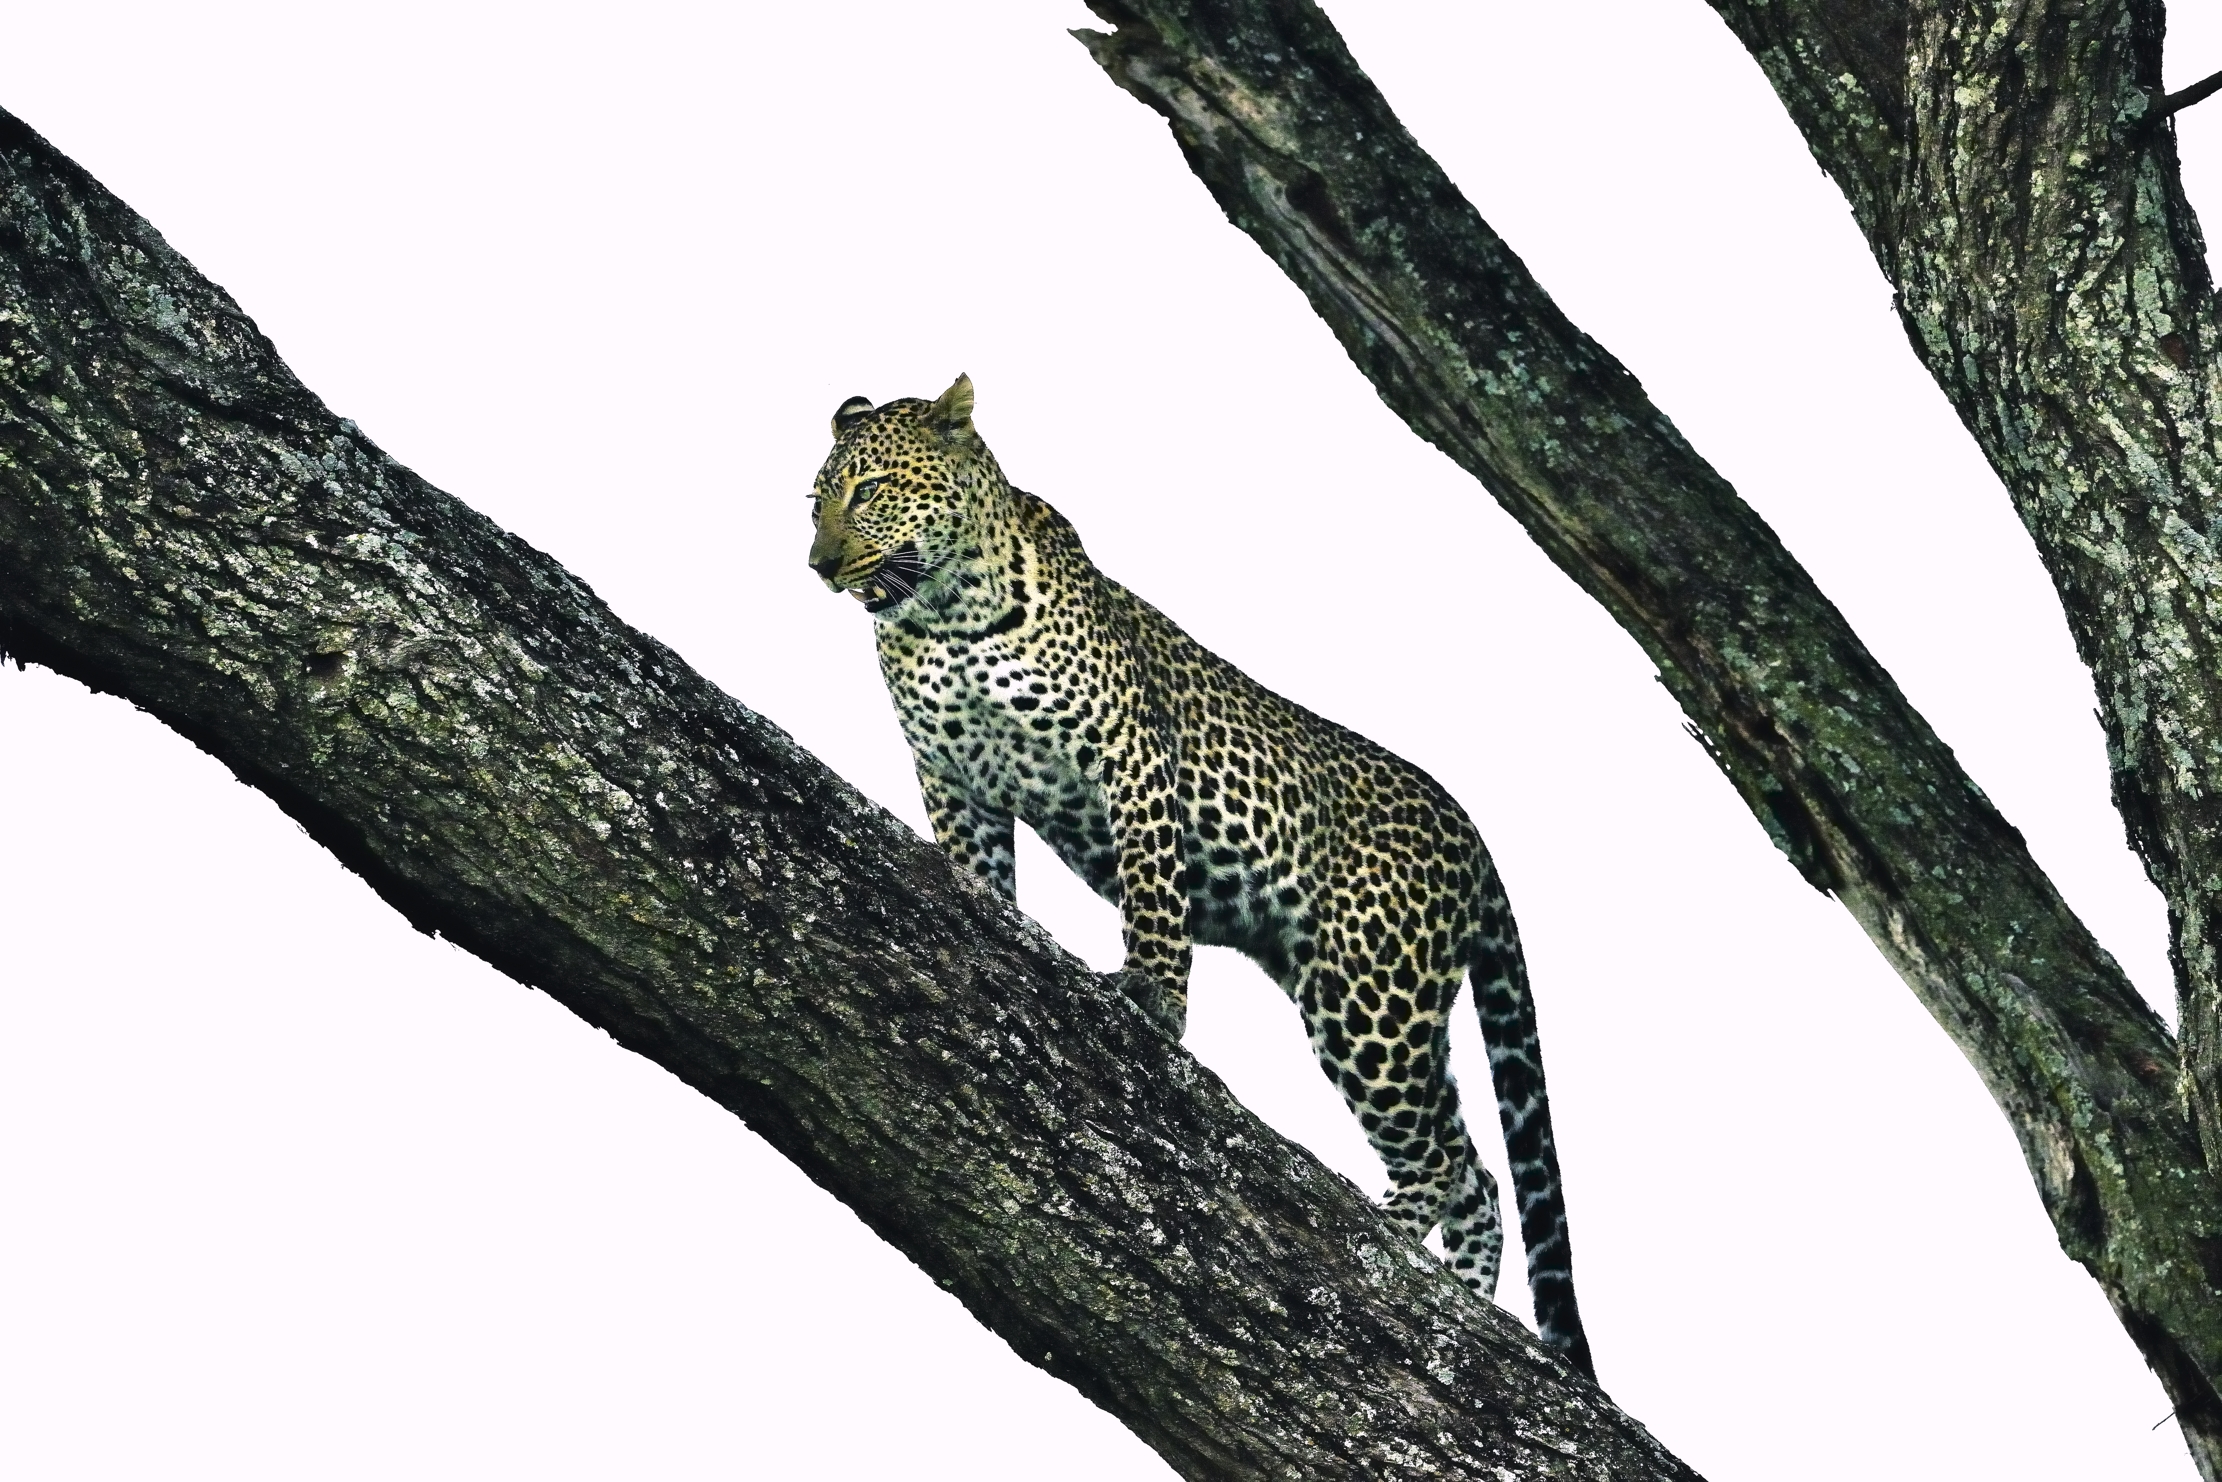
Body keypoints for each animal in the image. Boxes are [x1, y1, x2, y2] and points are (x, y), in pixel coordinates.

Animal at [808, 374, 1593, 1377]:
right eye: (814, 501)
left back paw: (1386, 1242)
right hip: (1390, 1006)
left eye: (867, 490)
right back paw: (1460, 1302)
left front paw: (1152, 1002)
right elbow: (977, 874)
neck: (946, 612)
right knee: (1477, 1173)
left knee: (1451, 1164)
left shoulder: (1132, 759)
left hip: (1367, 998)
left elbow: (1154, 901)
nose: (820, 564)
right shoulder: (953, 781)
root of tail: (1472, 834)